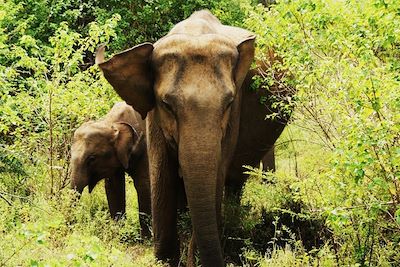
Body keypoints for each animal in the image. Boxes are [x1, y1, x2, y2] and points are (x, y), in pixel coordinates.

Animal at [69, 102, 151, 239]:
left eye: (92, 158)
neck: (111, 123)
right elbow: (114, 187)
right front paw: (119, 236)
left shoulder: (146, 150)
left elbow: (145, 185)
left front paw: (146, 239)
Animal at [98, 10, 256, 267]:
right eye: (167, 105)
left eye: (229, 103)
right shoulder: (153, 118)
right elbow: (162, 174)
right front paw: (164, 260)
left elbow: (217, 173)